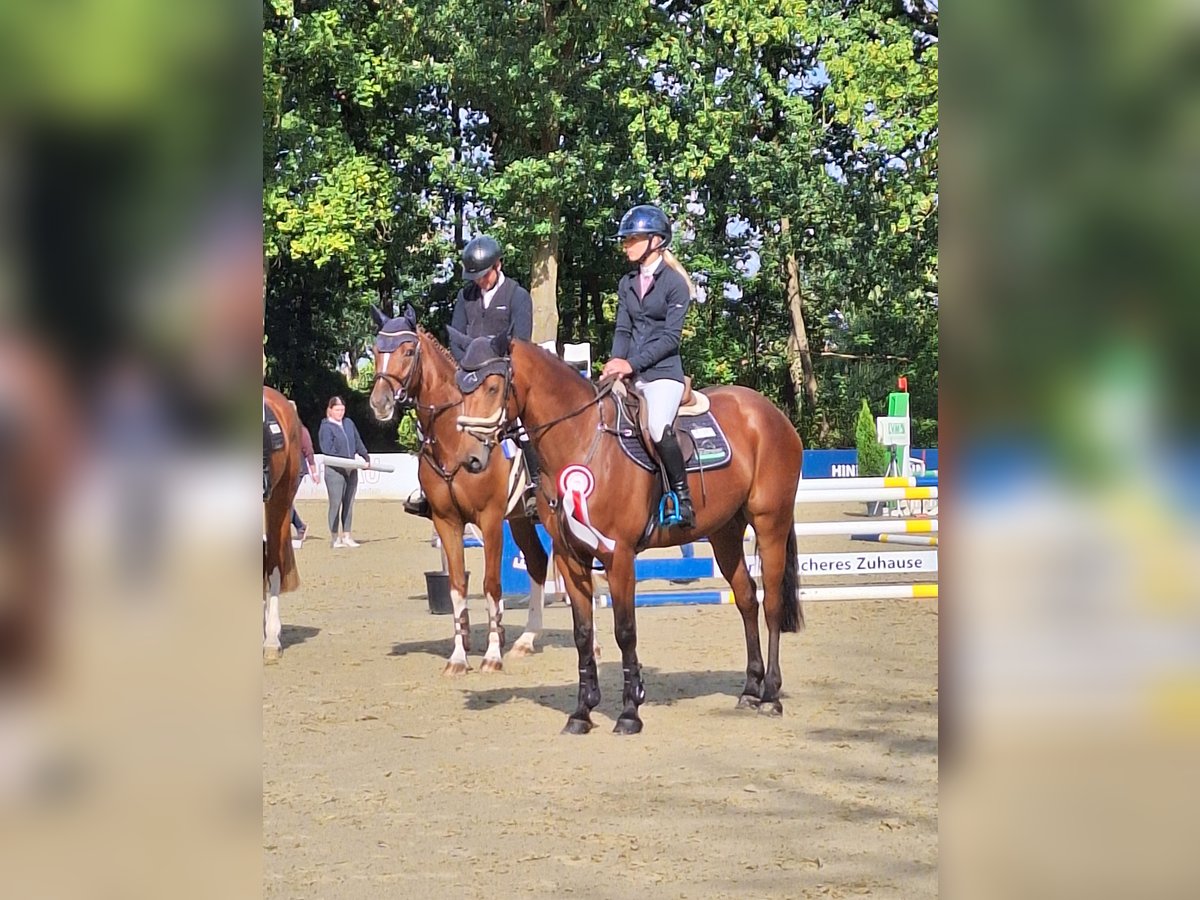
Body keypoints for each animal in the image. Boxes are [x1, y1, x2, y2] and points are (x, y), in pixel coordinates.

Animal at [367, 307, 549, 672]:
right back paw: (526, 639)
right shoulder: (447, 521)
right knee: (538, 561)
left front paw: (492, 655)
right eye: (377, 350)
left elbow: (491, 585)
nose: (380, 403)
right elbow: (456, 587)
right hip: (520, 519)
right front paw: (459, 656)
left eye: (408, 351)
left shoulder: (490, 520)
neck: (454, 439)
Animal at [453, 336, 801, 734]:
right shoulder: (571, 558)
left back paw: (771, 696)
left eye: (493, 387)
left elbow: (625, 630)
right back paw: (750, 690)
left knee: (771, 603)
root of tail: (771, 413)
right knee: (746, 599)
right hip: (724, 533)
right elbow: (583, 634)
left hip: (770, 524)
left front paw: (630, 712)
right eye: (462, 389)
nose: (471, 460)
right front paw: (581, 712)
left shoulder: (618, 556)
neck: (580, 439)